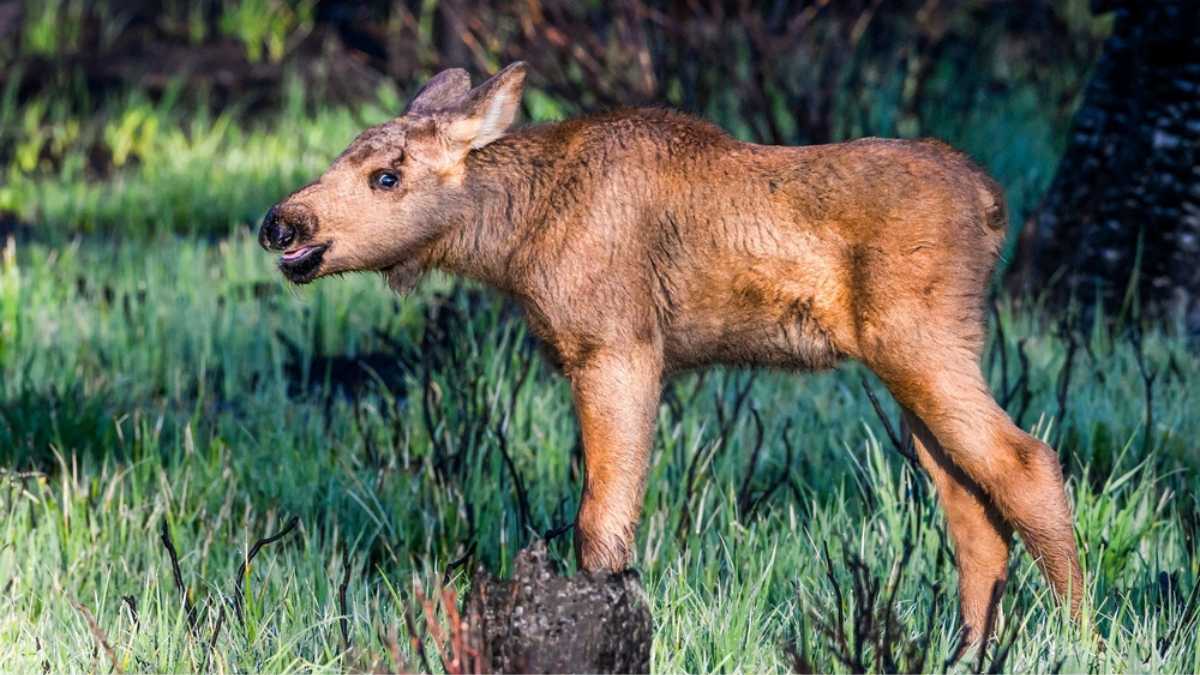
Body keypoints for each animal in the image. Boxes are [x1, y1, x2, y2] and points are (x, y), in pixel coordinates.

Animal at [262, 60, 1089, 638]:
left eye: (387, 175)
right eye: (343, 157)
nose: (283, 223)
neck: (515, 239)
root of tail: (993, 204)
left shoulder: (617, 345)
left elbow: (602, 520)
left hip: (919, 341)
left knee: (1027, 463)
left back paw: (1080, 637)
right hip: (913, 362)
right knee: (971, 503)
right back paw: (970, 646)